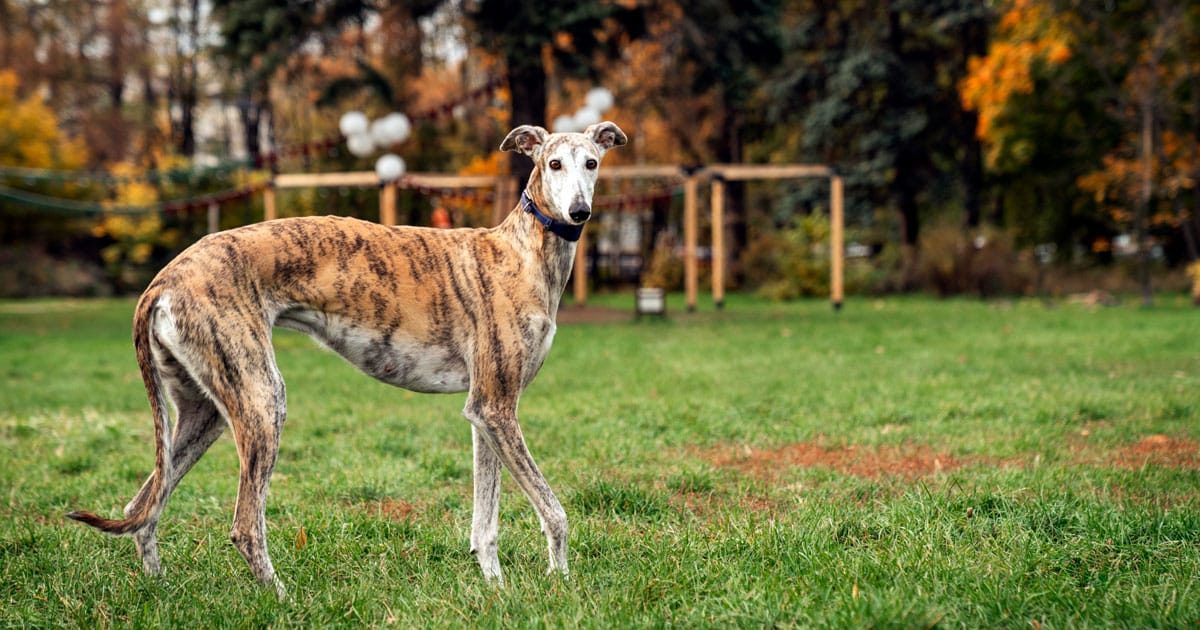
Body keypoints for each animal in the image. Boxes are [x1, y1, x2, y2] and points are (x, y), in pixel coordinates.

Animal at [68, 119, 628, 595]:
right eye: (553, 163)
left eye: (592, 162)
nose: (580, 212)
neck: (522, 251)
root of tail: (163, 280)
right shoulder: (496, 408)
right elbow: (555, 511)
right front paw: (560, 579)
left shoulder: (487, 411)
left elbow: (484, 521)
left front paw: (495, 587)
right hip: (262, 399)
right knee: (244, 525)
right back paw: (282, 598)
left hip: (204, 412)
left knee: (144, 504)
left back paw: (159, 587)